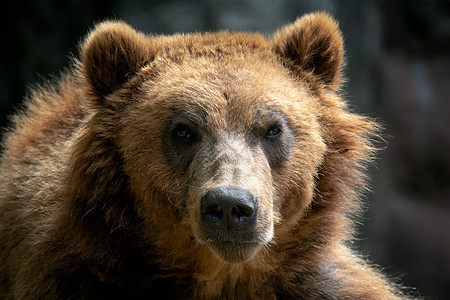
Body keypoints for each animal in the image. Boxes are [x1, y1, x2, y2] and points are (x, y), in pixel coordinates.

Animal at [0, 12, 412, 300]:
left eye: (272, 128)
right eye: (183, 130)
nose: (230, 206)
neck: (219, 276)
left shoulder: (321, 286)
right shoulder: (74, 275)